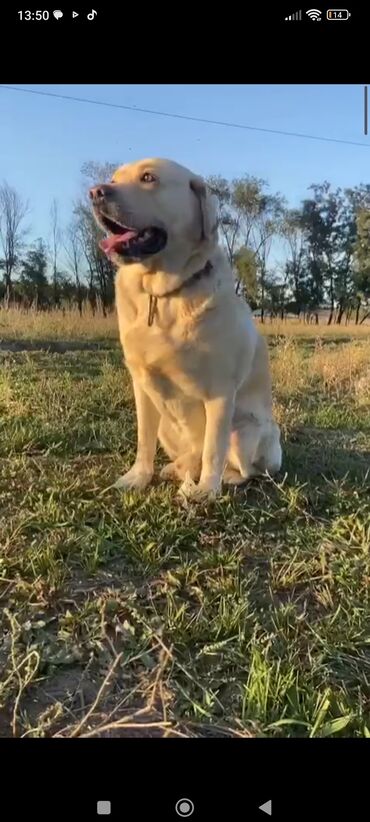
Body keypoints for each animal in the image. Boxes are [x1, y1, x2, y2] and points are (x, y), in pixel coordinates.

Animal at [89, 158, 280, 498]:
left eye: (148, 177)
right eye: (113, 179)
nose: (96, 192)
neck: (163, 294)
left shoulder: (220, 392)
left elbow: (213, 449)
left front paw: (206, 490)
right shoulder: (142, 383)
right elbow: (144, 440)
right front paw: (138, 477)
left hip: (244, 429)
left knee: (244, 469)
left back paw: (219, 479)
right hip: (169, 425)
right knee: (190, 453)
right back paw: (177, 468)